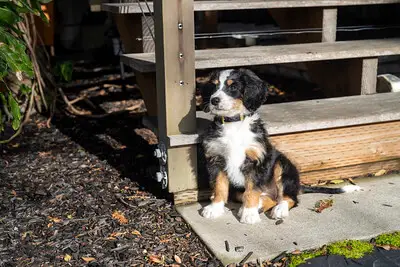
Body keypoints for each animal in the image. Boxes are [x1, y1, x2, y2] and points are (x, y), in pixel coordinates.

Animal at [198, 68, 360, 224]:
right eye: (214, 86)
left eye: (233, 87)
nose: (214, 100)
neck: (234, 123)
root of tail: (298, 186)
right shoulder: (216, 159)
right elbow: (219, 186)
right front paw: (215, 208)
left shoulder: (256, 161)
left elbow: (252, 190)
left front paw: (249, 214)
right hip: (239, 189)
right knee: (268, 198)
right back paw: (258, 205)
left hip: (282, 166)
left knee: (289, 198)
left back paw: (277, 209)